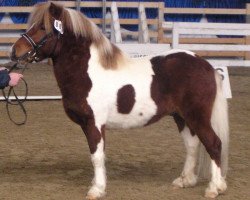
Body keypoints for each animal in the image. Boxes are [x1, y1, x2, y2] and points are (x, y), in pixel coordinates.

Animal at [10, 2, 229, 199]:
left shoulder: (94, 123)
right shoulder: (86, 125)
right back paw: (185, 180)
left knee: (214, 144)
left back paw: (214, 188)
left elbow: (97, 156)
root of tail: (204, 64)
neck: (88, 72)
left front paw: (97, 189)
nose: (14, 51)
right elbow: (95, 154)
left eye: (42, 27)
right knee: (192, 145)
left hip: (197, 116)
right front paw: (96, 184)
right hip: (182, 117)